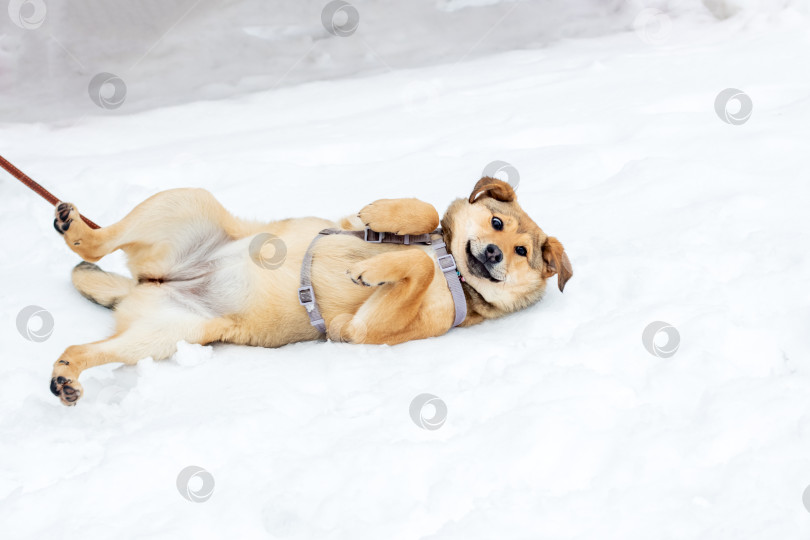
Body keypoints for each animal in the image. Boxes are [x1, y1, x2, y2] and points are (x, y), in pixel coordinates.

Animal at [49, 177, 568, 404]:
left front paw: (376, 268)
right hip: (185, 203)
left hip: (165, 334)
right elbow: (419, 217)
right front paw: (387, 216)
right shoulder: (353, 225)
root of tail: (153, 282)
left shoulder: (359, 331)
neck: (453, 266)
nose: (496, 254)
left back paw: (67, 375)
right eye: (497, 223)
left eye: (523, 250)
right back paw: (76, 227)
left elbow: (416, 265)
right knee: (102, 240)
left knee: (85, 347)